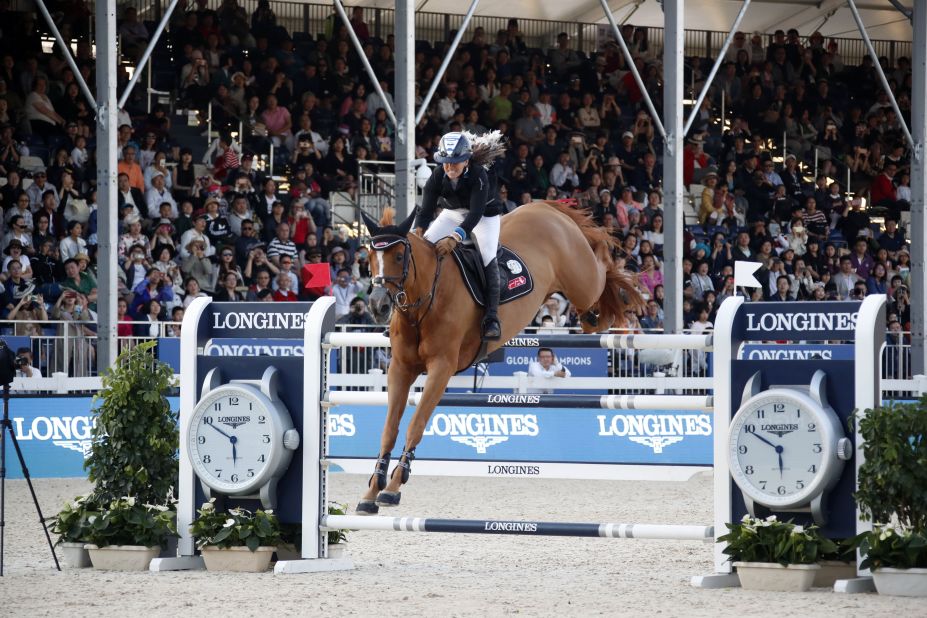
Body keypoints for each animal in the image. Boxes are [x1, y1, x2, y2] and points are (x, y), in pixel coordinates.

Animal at [358, 200, 640, 512]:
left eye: (398, 256)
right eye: (370, 257)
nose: (378, 306)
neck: (425, 300)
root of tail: (545, 207)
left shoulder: (441, 368)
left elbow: (415, 424)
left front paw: (394, 486)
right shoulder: (400, 368)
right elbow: (389, 428)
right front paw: (372, 489)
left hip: (582, 281)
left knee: (600, 274)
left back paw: (611, 263)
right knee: (590, 313)